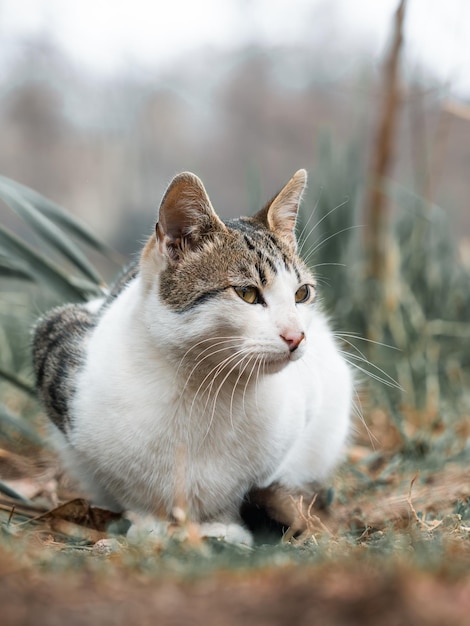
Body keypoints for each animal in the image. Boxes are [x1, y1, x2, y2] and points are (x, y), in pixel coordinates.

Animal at [33, 169, 352, 540]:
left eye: (302, 294)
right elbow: (129, 486)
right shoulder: (58, 341)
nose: (297, 336)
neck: (205, 387)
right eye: (247, 293)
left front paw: (222, 526)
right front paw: (150, 525)